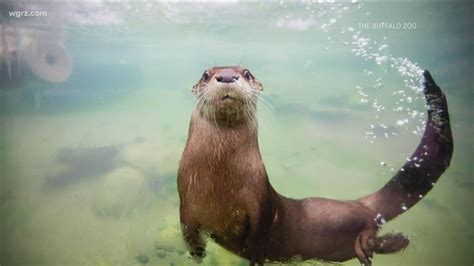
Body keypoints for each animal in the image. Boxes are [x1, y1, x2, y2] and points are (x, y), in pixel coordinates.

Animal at [177, 66, 452, 264]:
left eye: (246, 73)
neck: (221, 183)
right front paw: (198, 255)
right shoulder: (186, 206)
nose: (226, 76)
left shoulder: (263, 202)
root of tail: (361, 202)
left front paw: (254, 256)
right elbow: (190, 235)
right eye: (206, 74)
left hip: (352, 219)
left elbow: (260, 237)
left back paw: (395, 240)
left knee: (370, 228)